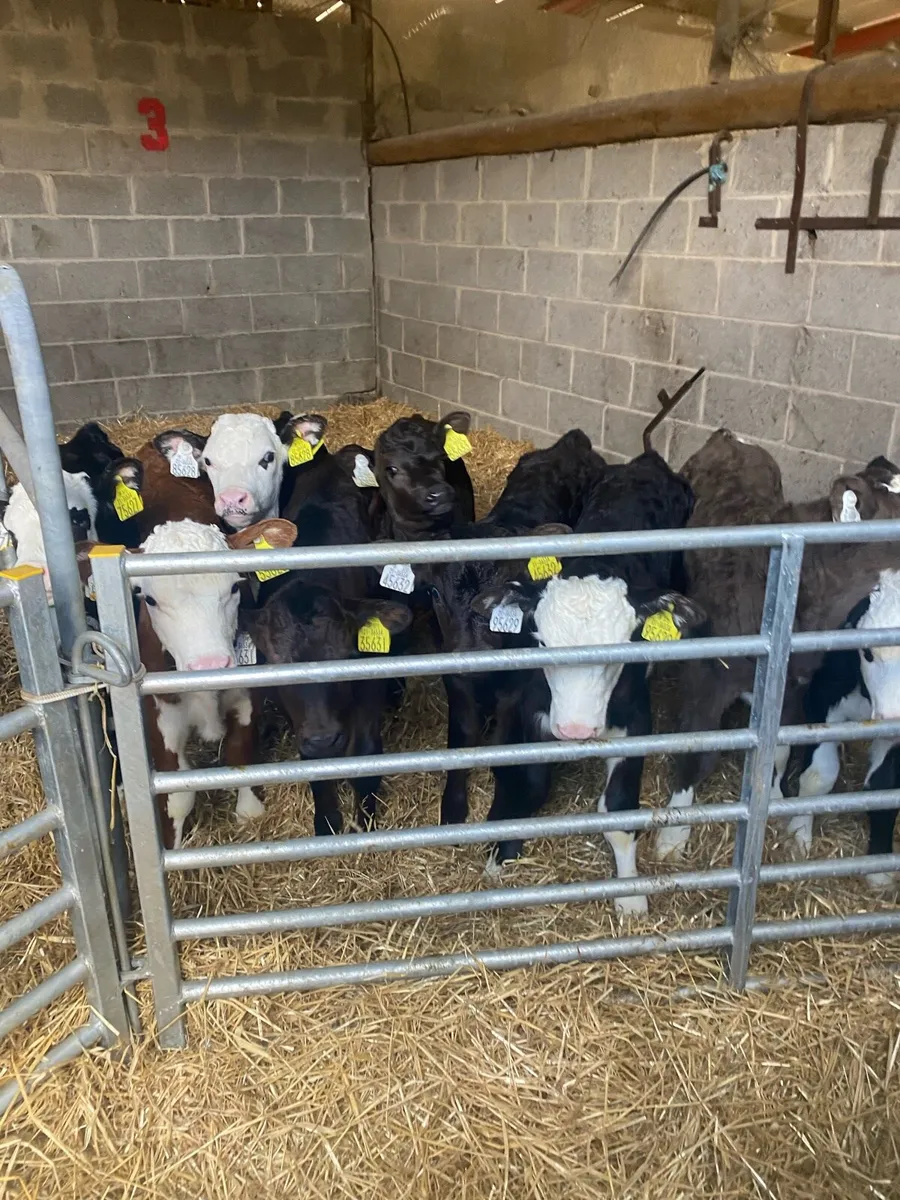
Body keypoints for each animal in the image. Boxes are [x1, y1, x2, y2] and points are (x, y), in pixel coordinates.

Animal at [242, 448, 412, 837]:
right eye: (276, 666)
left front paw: (365, 820)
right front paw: (327, 822)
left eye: (347, 657)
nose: (324, 739)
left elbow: (366, 753)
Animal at [474, 410, 701, 912]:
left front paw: (630, 895)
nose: (576, 729)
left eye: (624, 645)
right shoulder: (521, 710)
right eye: (541, 642)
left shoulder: (635, 722)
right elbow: (525, 782)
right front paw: (499, 857)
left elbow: (617, 808)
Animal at [656, 434, 900, 862]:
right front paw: (672, 836)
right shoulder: (706, 678)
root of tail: (729, 437)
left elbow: (778, 752)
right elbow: (695, 751)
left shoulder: (793, 684)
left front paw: (772, 797)